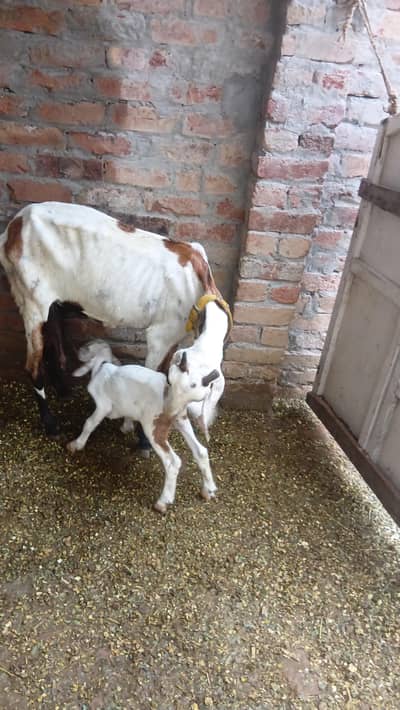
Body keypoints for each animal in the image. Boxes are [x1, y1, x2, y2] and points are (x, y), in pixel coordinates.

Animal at [0, 201, 232, 449]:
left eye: (198, 397)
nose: (170, 417)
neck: (199, 283)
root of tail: (13, 228)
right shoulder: (161, 335)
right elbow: (151, 373)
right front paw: (143, 439)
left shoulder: (174, 338)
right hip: (31, 298)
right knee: (32, 366)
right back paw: (51, 425)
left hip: (51, 302)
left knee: (53, 344)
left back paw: (63, 390)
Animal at [67, 340, 220, 513]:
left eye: (87, 348)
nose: (77, 351)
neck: (103, 367)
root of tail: (178, 403)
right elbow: (127, 416)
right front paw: (126, 426)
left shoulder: (102, 405)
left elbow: (89, 423)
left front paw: (76, 444)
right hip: (180, 419)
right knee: (201, 451)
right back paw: (208, 490)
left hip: (153, 426)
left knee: (173, 462)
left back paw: (163, 502)